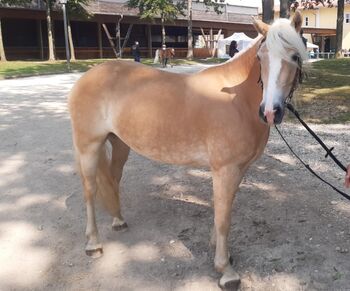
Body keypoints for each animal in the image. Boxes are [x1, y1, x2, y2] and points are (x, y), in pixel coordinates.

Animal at [68, 11, 306, 290]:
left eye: (295, 56)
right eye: (261, 57)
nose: (270, 112)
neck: (237, 99)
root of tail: (87, 77)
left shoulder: (238, 170)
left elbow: (224, 209)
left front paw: (220, 251)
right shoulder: (225, 169)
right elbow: (224, 218)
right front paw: (225, 270)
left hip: (119, 143)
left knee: (113, 179)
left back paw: (118, 221)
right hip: (89, 146)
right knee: (90, 190)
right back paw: (94, 244)